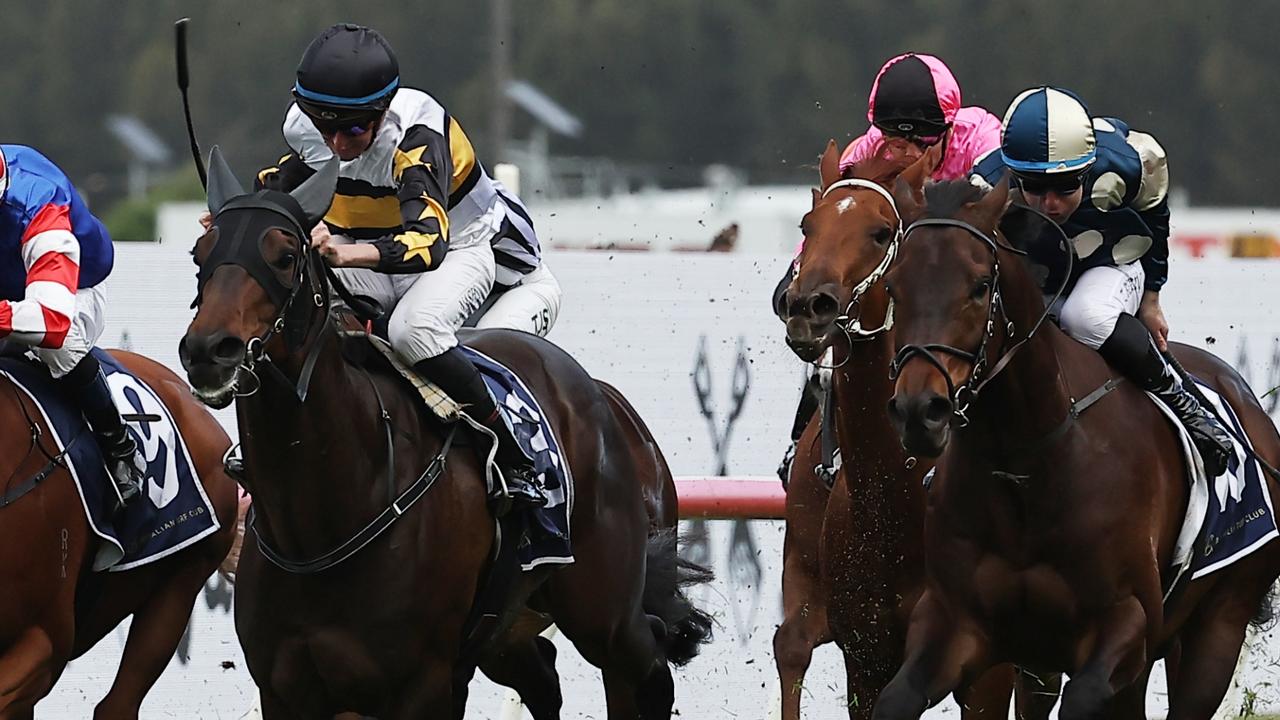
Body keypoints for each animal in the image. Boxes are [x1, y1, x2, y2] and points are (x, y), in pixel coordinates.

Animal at [176, 148, 711, 712]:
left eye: (284, 256)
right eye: (200, 252)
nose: (210, 350)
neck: (323, 521)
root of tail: (604, 397)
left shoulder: (424, 682)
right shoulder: (285, 689)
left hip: (602, 609)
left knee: (649, 663)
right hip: (508, 629)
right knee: (545, 676)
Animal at [768, 142, 1039, 712]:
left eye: (880, 232)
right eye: (807, 225)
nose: (807, 306)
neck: (898, 492)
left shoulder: (987, 673)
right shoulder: (866, 655)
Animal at [875, 176, 1280, 712]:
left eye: (980, 286)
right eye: (894, 287)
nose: (920, 411)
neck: (1025, 463)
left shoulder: (1126, 623)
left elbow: (1084, 696)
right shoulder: (955, 622)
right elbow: (895, 698)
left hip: (1220, 622)